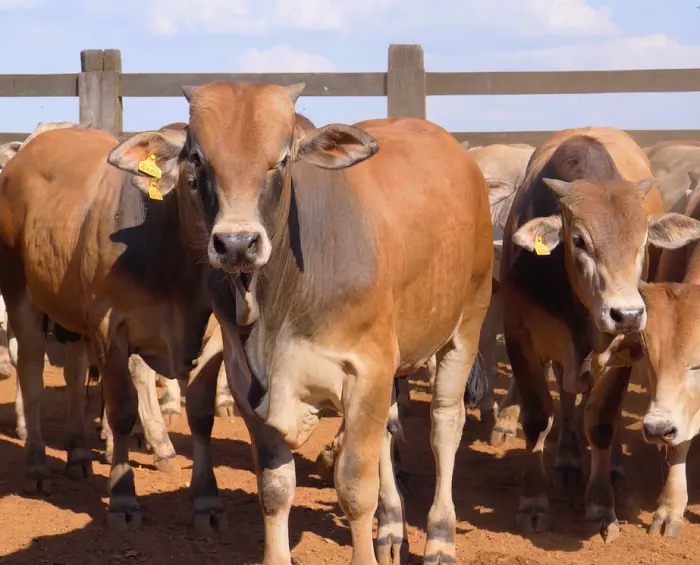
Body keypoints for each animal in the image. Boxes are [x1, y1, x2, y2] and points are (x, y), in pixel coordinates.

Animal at [106, 80, 494, 564]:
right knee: (391, 431)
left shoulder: (367, 371)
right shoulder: (247, 383)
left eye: (283, 158)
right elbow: (275, 489)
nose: (237, 243)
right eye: (197, 158)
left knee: (444, 426)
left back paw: (440, 536)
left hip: (466, 326)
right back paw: (390, 526)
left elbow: (354, 487)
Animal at [498, 125, 700, 540]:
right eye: (579, 240)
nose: (627, 314)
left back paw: (614, 465)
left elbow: (604, 422)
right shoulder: (520, 338)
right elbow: (538, 418)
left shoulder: (625, 349)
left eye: (644, 242)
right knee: (567, 399)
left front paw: (601, 507)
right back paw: (569, 459)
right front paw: (533, 501)